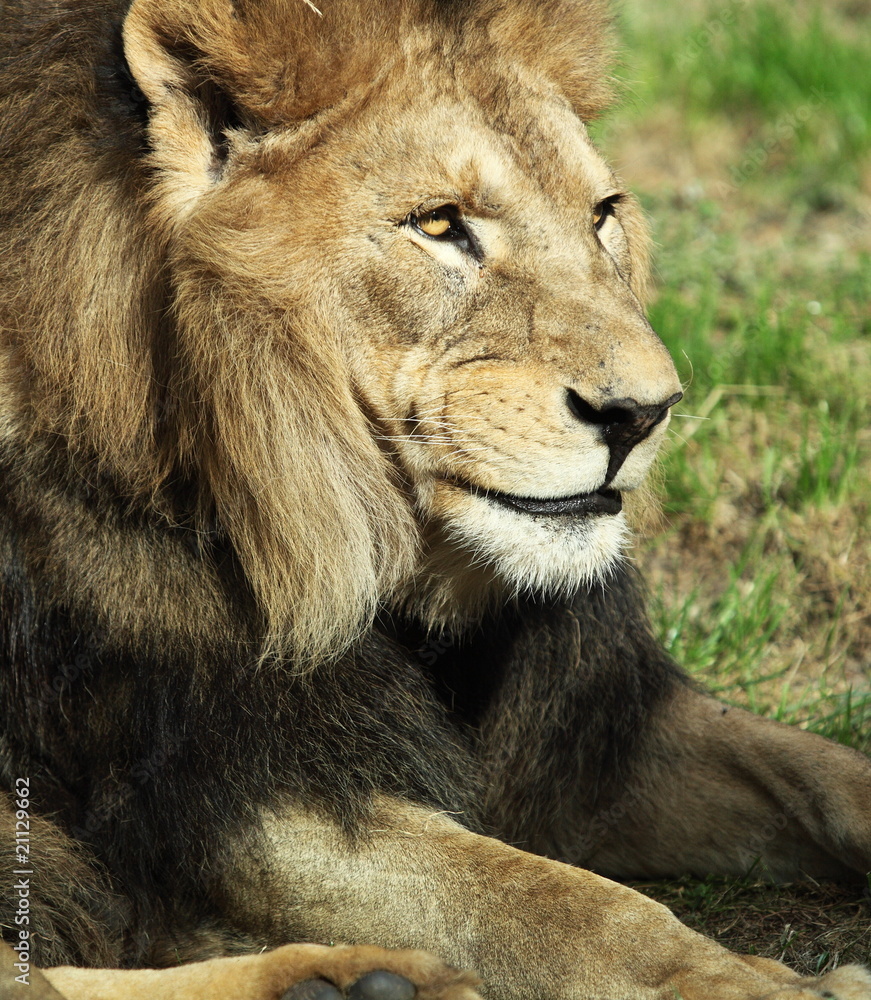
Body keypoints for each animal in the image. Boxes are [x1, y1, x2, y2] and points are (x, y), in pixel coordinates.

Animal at [1, 0, 870, 998]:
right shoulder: (233, 777)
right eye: (440, 223)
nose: (643, 414)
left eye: (601, 216)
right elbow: (563, 904)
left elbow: (825, 773)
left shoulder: (591, 732)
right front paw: (758, 984)